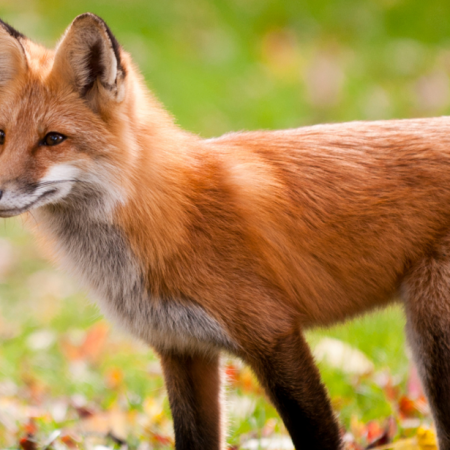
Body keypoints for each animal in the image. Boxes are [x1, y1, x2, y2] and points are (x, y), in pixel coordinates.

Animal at [0, 12, 450, 450]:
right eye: (1, 136)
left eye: (53, 139)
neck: (168, 216)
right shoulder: (182, 348)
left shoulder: (272, 333)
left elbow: (317, 435)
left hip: (432, 340)